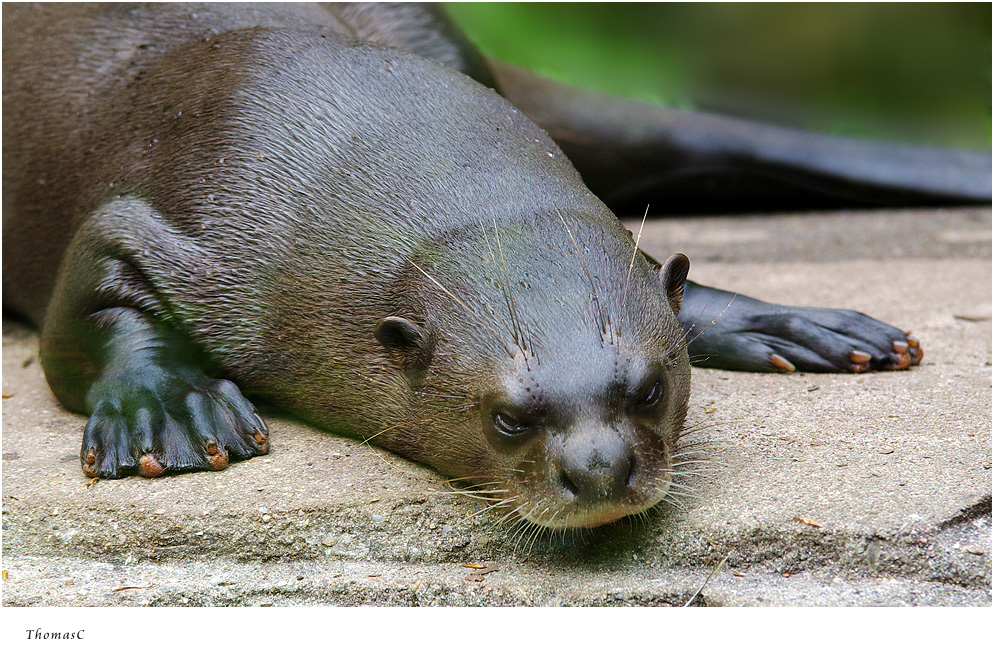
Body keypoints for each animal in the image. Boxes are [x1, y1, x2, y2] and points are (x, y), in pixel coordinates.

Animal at [3, 3, 956, 532]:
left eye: (651, 389)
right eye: (505, 417)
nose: (599, 469)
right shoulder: (159, 217)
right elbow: (82, 308)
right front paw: (166, 407)